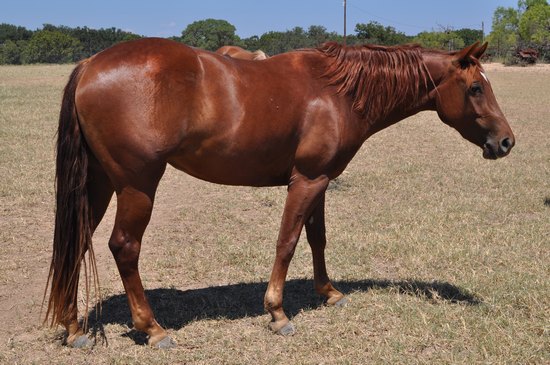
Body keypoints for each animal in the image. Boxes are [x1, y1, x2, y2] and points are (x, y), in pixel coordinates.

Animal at [45, 38, 516, 348]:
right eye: (476, 88)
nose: (507, 142)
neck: (337, 91)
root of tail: (90, 64)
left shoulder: (320, 180)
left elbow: (317, 238)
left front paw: (329, 292)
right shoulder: (305, 181)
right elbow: (287, 242)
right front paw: (277, 312)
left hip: (99, 182)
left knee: (77, 240)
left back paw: (73, 327)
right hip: (137, 184)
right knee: (124, 247)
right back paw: (152, 328)